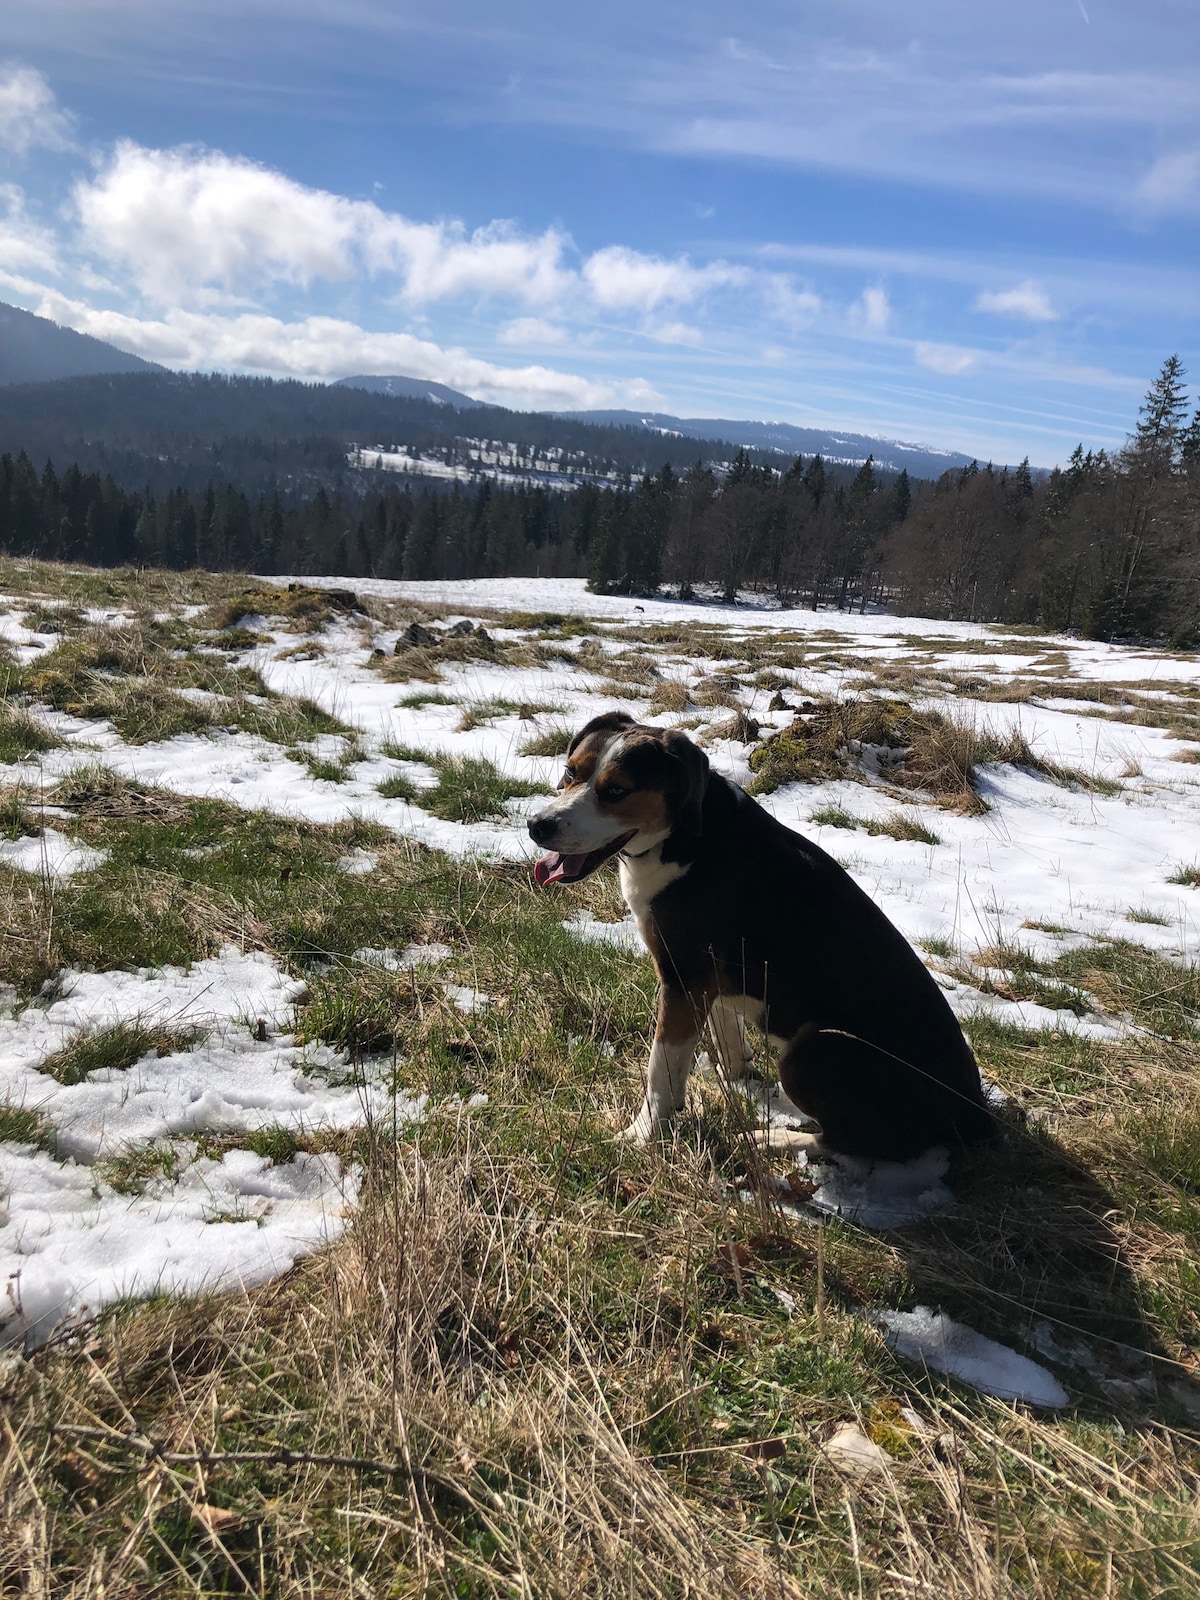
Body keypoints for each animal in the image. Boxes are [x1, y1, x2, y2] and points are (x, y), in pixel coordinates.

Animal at [531, 720, 992, 1158]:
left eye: (616, 791)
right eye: (571, 772)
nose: (538, 826)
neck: (687, 838)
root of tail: (975, 1115)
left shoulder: (683, 980)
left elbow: (661, 1072)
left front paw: (642, 1135)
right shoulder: (709, 983)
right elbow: (728, 1039)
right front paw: (736, 1082)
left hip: (816, 1046)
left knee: (857, 1142)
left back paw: (774, 1140)